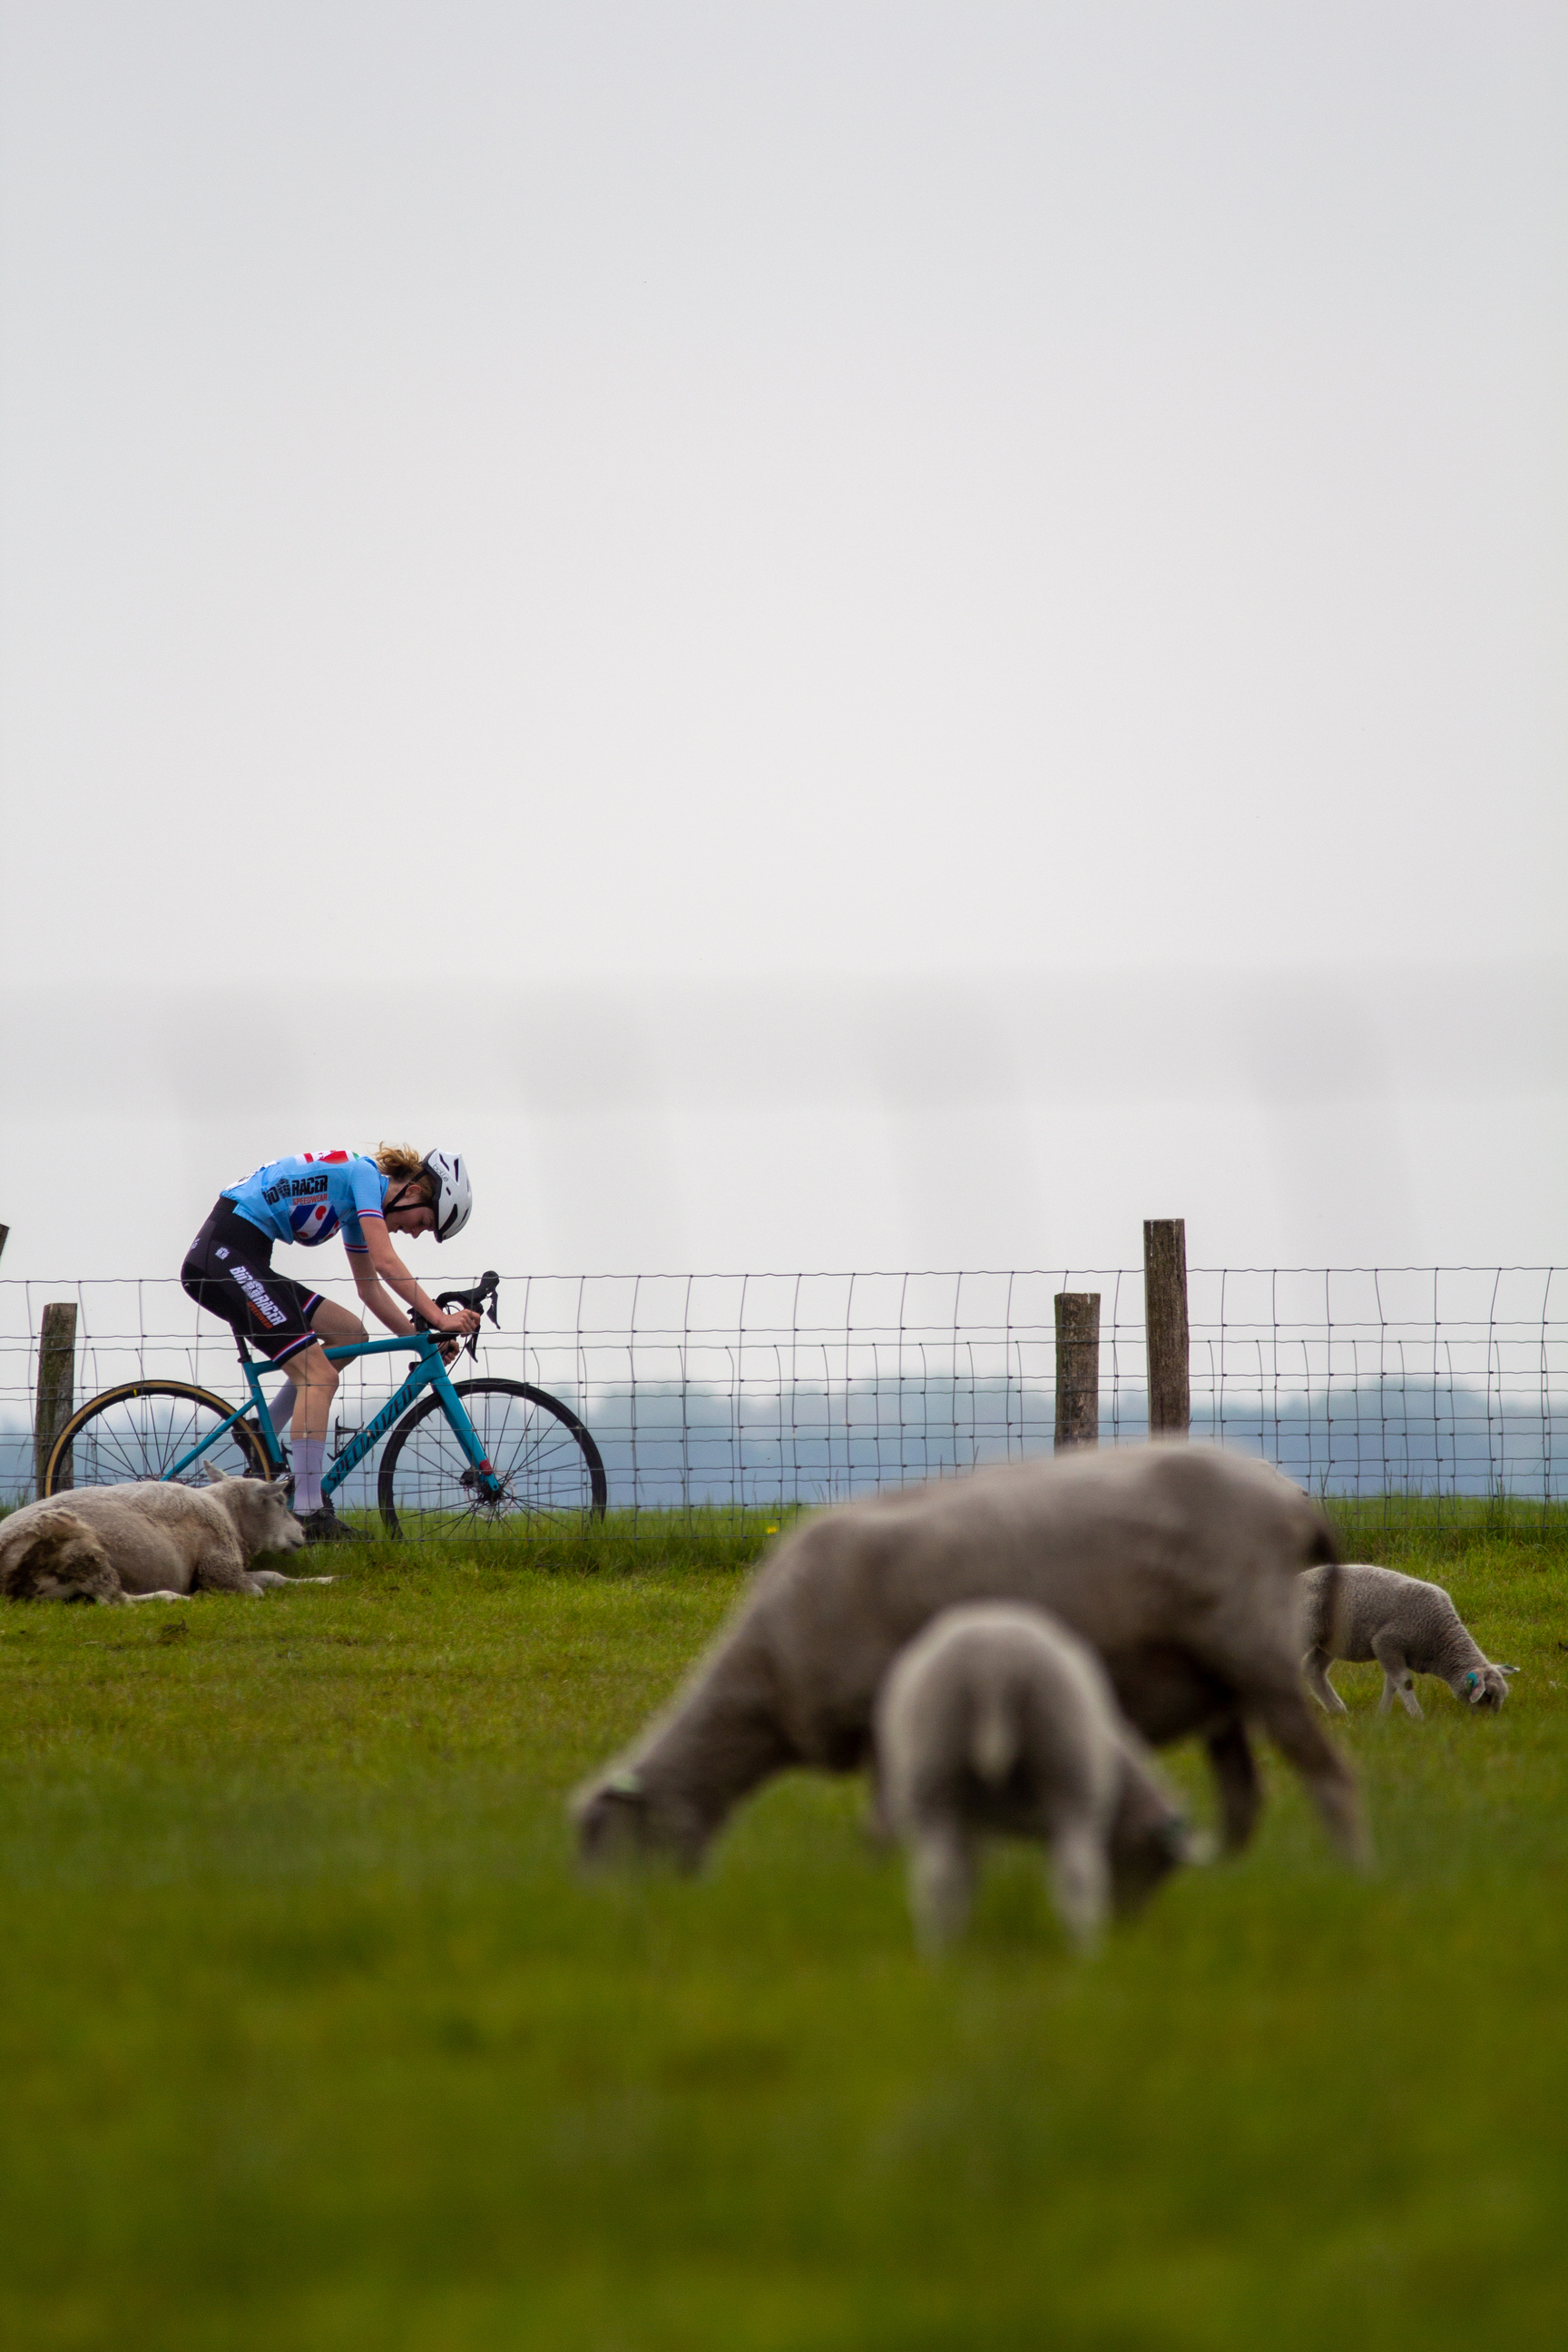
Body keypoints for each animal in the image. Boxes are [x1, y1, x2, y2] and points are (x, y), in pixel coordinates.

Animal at [0, 1458, 327, 1608]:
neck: (227, 1514)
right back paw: (174, 1597)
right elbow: (258, 1590)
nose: (302, 1532)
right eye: (281, 1501)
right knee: (114, 1600)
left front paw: (325, 1580)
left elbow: (275, 1576)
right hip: (80, 1547)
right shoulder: (219, 1568)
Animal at [580, 1429, 1372, 1872]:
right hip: (1220, 1688)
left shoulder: (883, 1719)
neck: (762, 1687)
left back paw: (1349, 1875)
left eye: (599, 1842)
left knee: (1329, 1778)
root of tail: (1293, 1501)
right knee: (1244, 1802)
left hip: (1254, 1653)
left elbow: (884, 1825)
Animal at [878, 1608, 1194, 1956]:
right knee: (1077, 1877)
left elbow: (966, 1876)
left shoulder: (970, 1825)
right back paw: (1086, 1954)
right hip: (1069, 1772)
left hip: (934, 1772)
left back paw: (939, 1956)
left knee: (936, 1879)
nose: (1130, 1926)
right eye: (1158, 1866)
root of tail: (995, 1665)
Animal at [1298, 1571, 1523, 1721]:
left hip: (1330, 1641)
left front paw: (1382, 1715)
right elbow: (1404, 1682)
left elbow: (1393, 1684)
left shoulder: (1396, 1653)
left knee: (1312, 1669)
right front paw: (1418, 1717)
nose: (1489, 1722)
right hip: (1304, 1627)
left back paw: (1337, 1709)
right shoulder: (1386, 1642)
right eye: (1488, 1695)